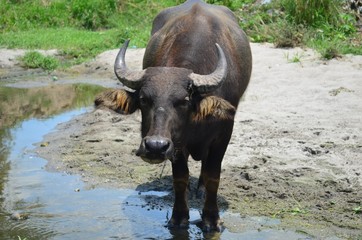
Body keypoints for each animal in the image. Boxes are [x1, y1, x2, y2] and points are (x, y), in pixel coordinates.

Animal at [95, 0, 252, 232]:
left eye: (184, 101)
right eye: (144, 99)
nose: (155, 146)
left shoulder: (223, 134)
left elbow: (213, 176)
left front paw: (212, 219)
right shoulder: (177, 144)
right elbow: (180, 178)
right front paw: (179, 218)